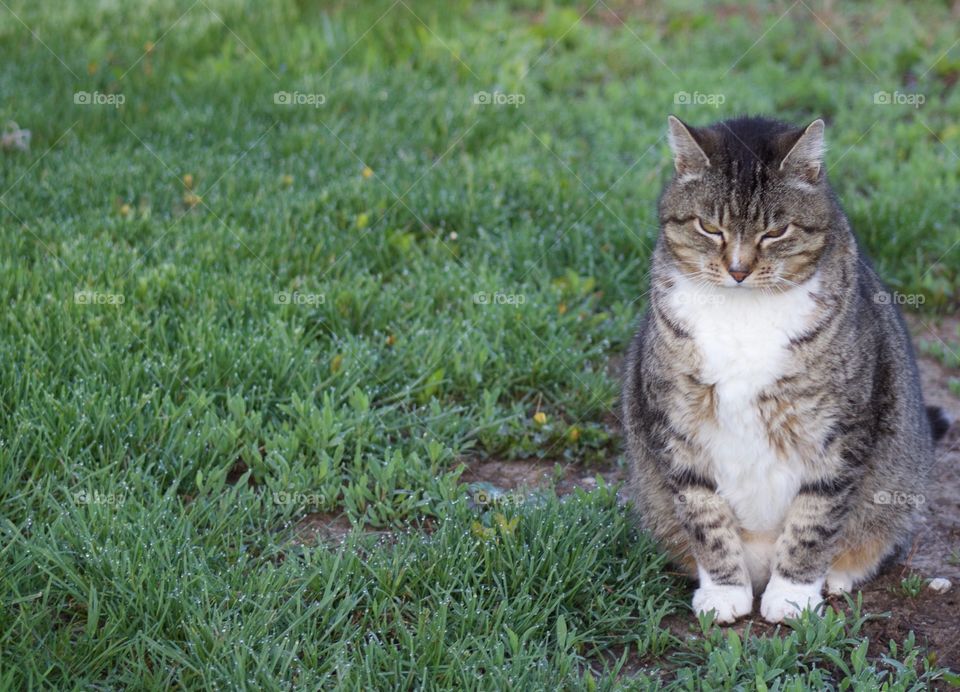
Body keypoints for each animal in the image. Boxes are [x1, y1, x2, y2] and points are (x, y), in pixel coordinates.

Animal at [620, 116, 948, 624]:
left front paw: (793, 594)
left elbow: (815, 518)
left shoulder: (841, 430)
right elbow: (703, 514)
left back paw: (837, 576)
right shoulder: (674, 423)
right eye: (709, 226)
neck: (743, 313)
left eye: (775, 232)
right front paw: (724, 592)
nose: (737, 270)